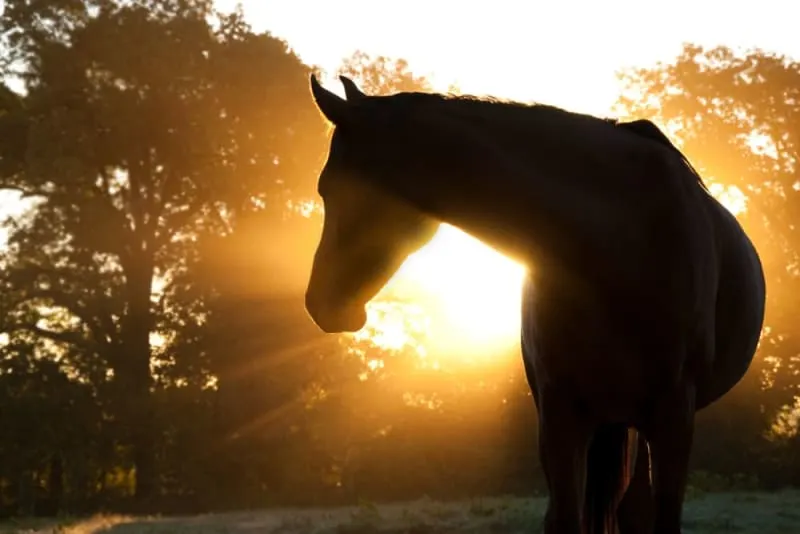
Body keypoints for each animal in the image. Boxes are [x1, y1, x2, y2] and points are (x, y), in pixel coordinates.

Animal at [303, 75, 766, 534]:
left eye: (329, 187)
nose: (318, 303)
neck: (621, 242)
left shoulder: (673, 415)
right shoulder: (559, 412)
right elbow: (564, 518)